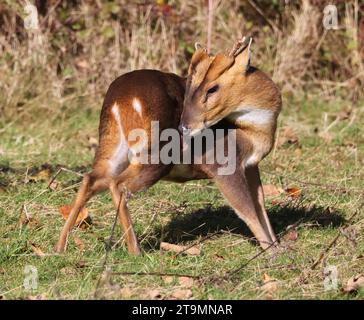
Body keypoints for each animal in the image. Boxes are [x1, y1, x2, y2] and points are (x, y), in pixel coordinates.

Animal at [54, 38, 282, 255]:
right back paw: (135, 250)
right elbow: (247, 209)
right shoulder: (223, 162)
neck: (254, 130)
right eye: (189, 87)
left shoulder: (251, 165)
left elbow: (260, 204)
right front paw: (272, 253)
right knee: (118, 185)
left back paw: (60, 247)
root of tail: (120, 99)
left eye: (212, 89)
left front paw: (278, 245)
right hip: (157, 152)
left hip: (113, 144)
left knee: (92, 179)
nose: (184, 126)